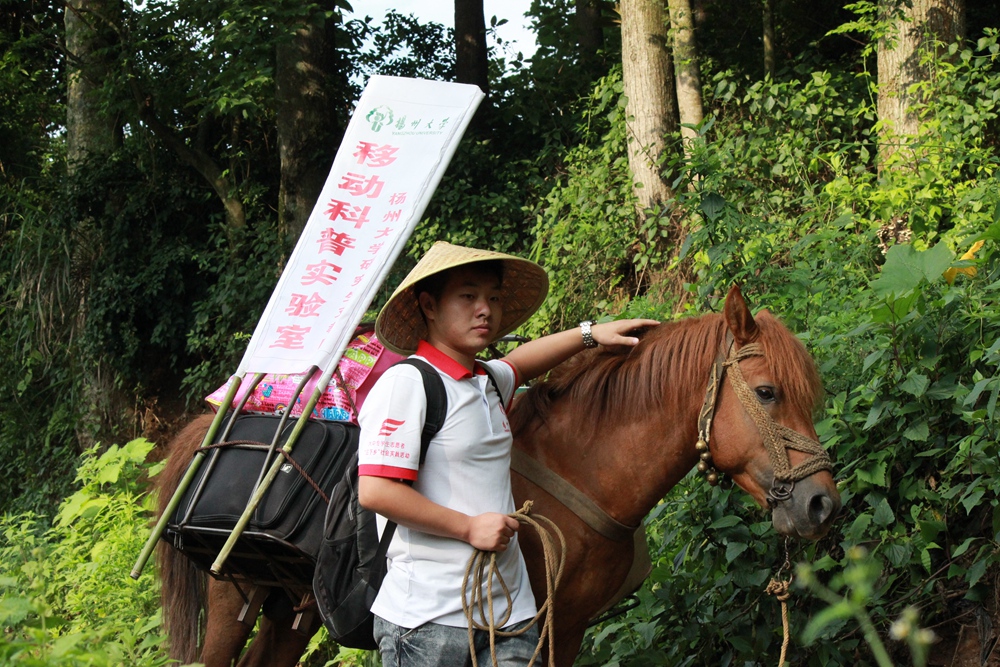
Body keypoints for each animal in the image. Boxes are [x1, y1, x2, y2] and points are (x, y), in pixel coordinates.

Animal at [158, 288, 844, 667]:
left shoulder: (567, 628)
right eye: (768, 392)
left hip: (288, 607)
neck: (580, 470)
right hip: (231, 604)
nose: (821, 505)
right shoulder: (539, 629)